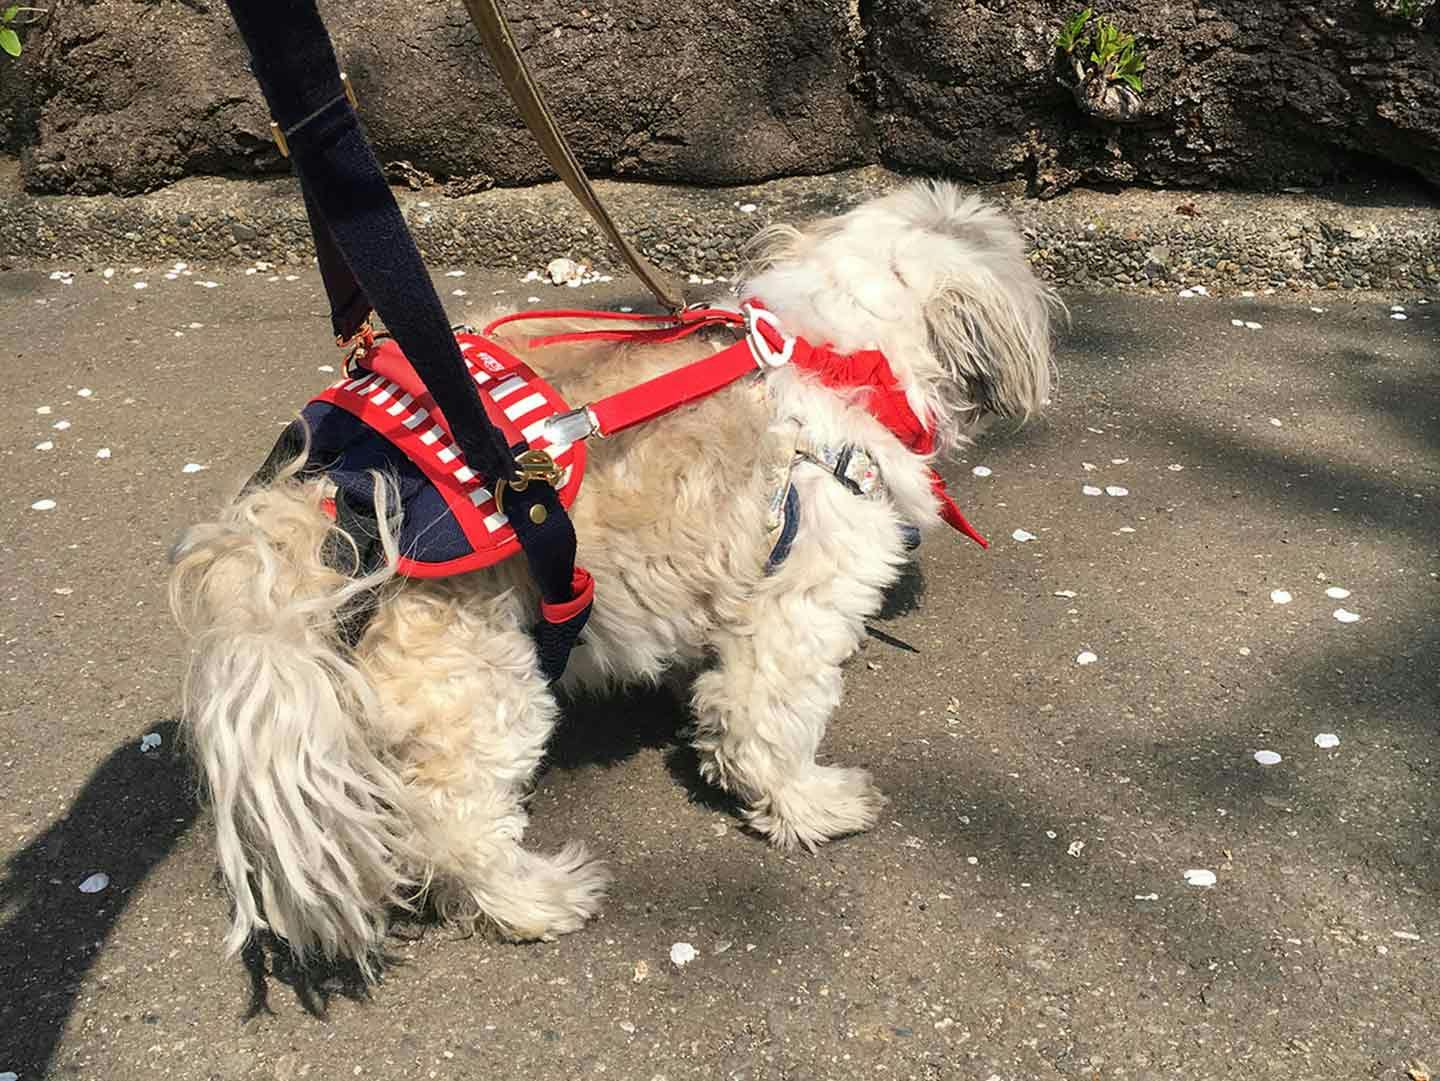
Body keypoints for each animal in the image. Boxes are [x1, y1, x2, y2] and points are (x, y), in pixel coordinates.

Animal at [168, 179, 1059, 978]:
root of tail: (330, 500)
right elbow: (767, 724)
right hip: (480, 677)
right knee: (453, 820)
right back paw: (534, 898)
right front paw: (811, 802)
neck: (838, 357)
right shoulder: (800, 604)